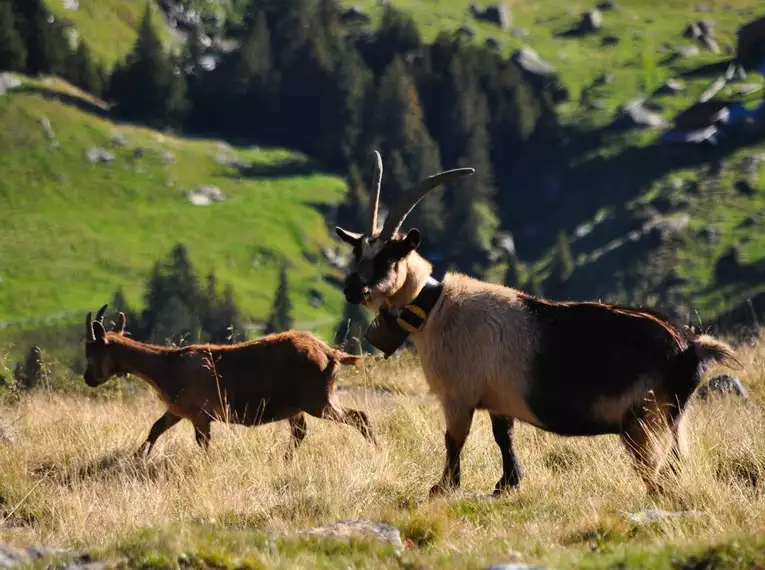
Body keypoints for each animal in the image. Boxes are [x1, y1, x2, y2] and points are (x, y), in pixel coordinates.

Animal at [82, 304, 374, 454]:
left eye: (91, 351)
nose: (88, 378)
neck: (166, 366)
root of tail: (329, 353)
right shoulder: (177, 410)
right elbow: (155, 428)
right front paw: (138, 456)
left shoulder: (200, 414)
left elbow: (203, 444)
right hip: (297, 406)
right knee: (300, 432)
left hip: (317, 399)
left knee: (359, 416)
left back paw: (375, 448)